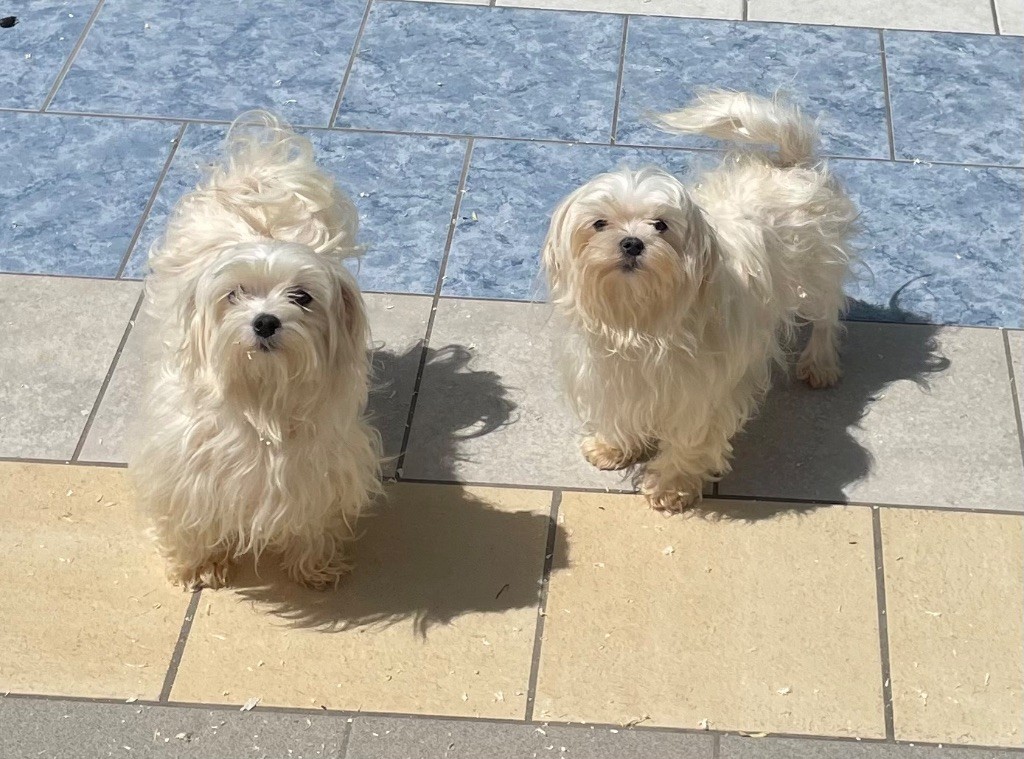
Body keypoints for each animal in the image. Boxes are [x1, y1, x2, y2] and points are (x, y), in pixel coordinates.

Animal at [130, 109, 380, 589]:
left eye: (302, 297)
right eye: (236, 294)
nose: (265, 321)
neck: (263, 393)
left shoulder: (320, 467)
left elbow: (313, 517)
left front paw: (313, 565)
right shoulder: (187, 464)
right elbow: (188, 518)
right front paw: (197, 563)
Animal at [544, 91, 856, 512]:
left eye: (660, 225)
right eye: (599, 224)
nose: (632, 242)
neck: (640, 319)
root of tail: (791, 163)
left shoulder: (700, 392)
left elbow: (690, 439)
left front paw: (670, 485)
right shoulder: (608, 373)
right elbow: (618, 412)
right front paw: (612, 447)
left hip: (816, 271)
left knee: (827, 315)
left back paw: (820, 363)